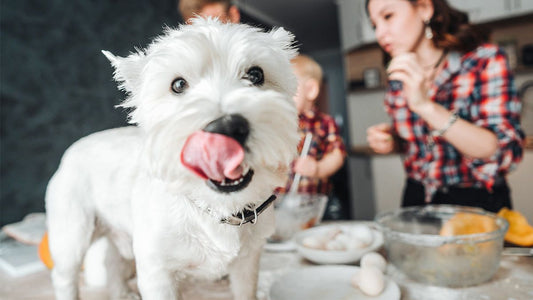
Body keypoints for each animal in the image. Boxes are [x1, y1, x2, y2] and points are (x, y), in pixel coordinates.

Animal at [45, 18, 300, 300]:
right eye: (178, 85)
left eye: (256, 75)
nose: (226, 127)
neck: (216, 208)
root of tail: (72, 149)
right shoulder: (157, 272)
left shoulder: (248, 263)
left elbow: (246, 291)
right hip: (72, 233)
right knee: (64, 275)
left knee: (113, 261)